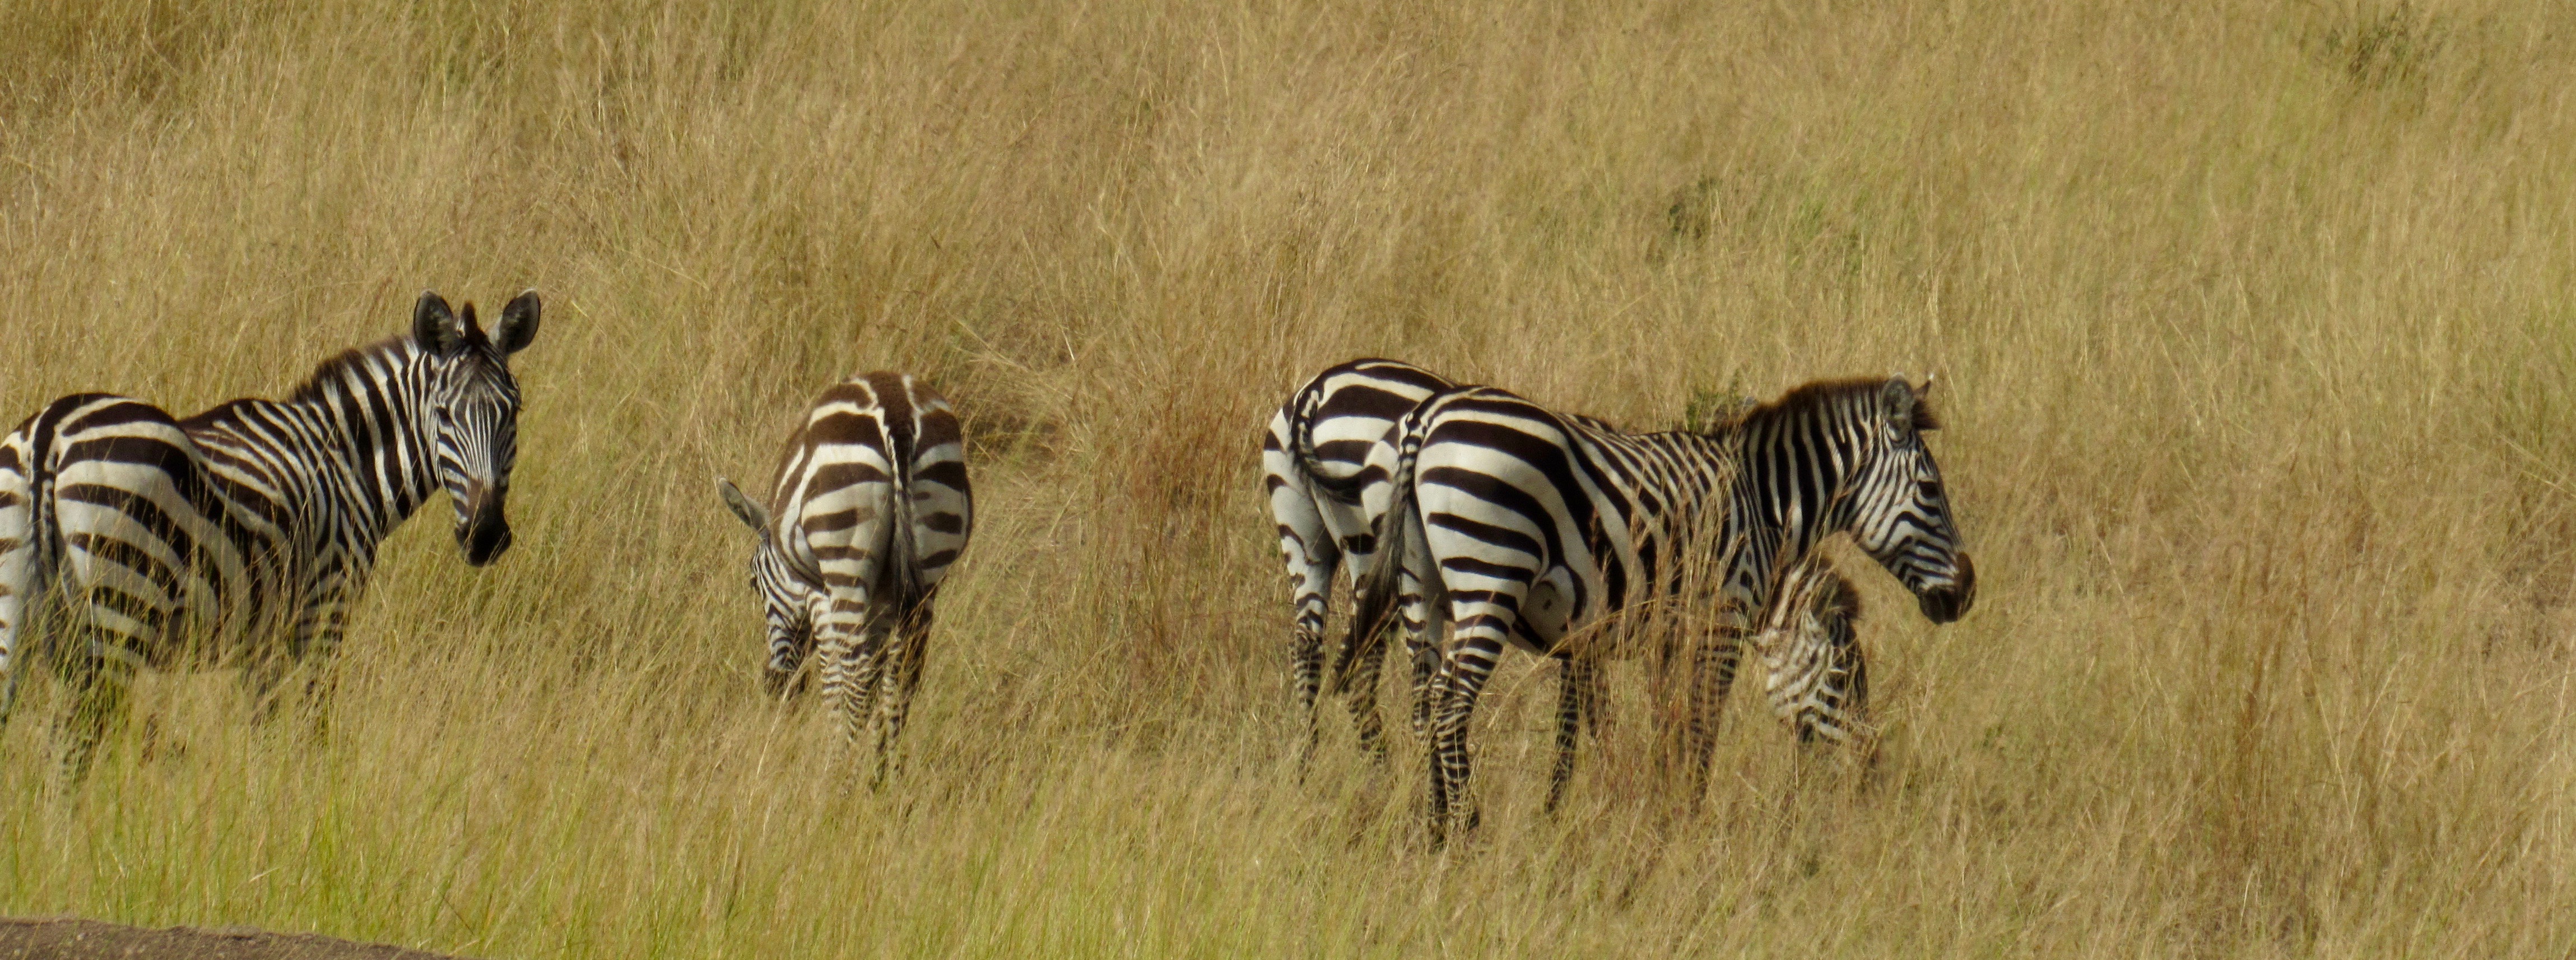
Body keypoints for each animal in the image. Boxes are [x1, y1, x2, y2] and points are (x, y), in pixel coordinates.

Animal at [0, 288, 543, 782]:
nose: (485, 537)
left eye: (514, 411)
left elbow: (263, 734)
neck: (347, 461)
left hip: (18, 612)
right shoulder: (324, 610)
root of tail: (50, 433)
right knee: (73, 750)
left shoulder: (262, 644)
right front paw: (312, 804)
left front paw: (260, 804)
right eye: (444, 415)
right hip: (122, 605)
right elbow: (313, 726)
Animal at [721, 368, 968, 787]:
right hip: (928, 574)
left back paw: (836, 781)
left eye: (753, 582)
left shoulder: (819, 592)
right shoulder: (883, 597)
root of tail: (898, 416)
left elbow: (834, 679)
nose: (775, 685)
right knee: (901, 681)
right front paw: (875, 768)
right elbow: (880, 675)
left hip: (845, 555)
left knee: (856, 681)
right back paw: (889, 784)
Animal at [1350, 373, 1968, 844]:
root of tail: (1428, 417)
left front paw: (1644, 810)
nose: (1967, 592)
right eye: (1929, 489)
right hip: (1491, 573)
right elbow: (1697, 726)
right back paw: (1466, 829)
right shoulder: (1718, 622)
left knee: (1424, 702)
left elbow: (1646, 725)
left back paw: (1432, 825)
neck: (1765, 510)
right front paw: (1684, 820)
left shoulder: (1642, 637)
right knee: (1452, 705)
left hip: (1420, 585)